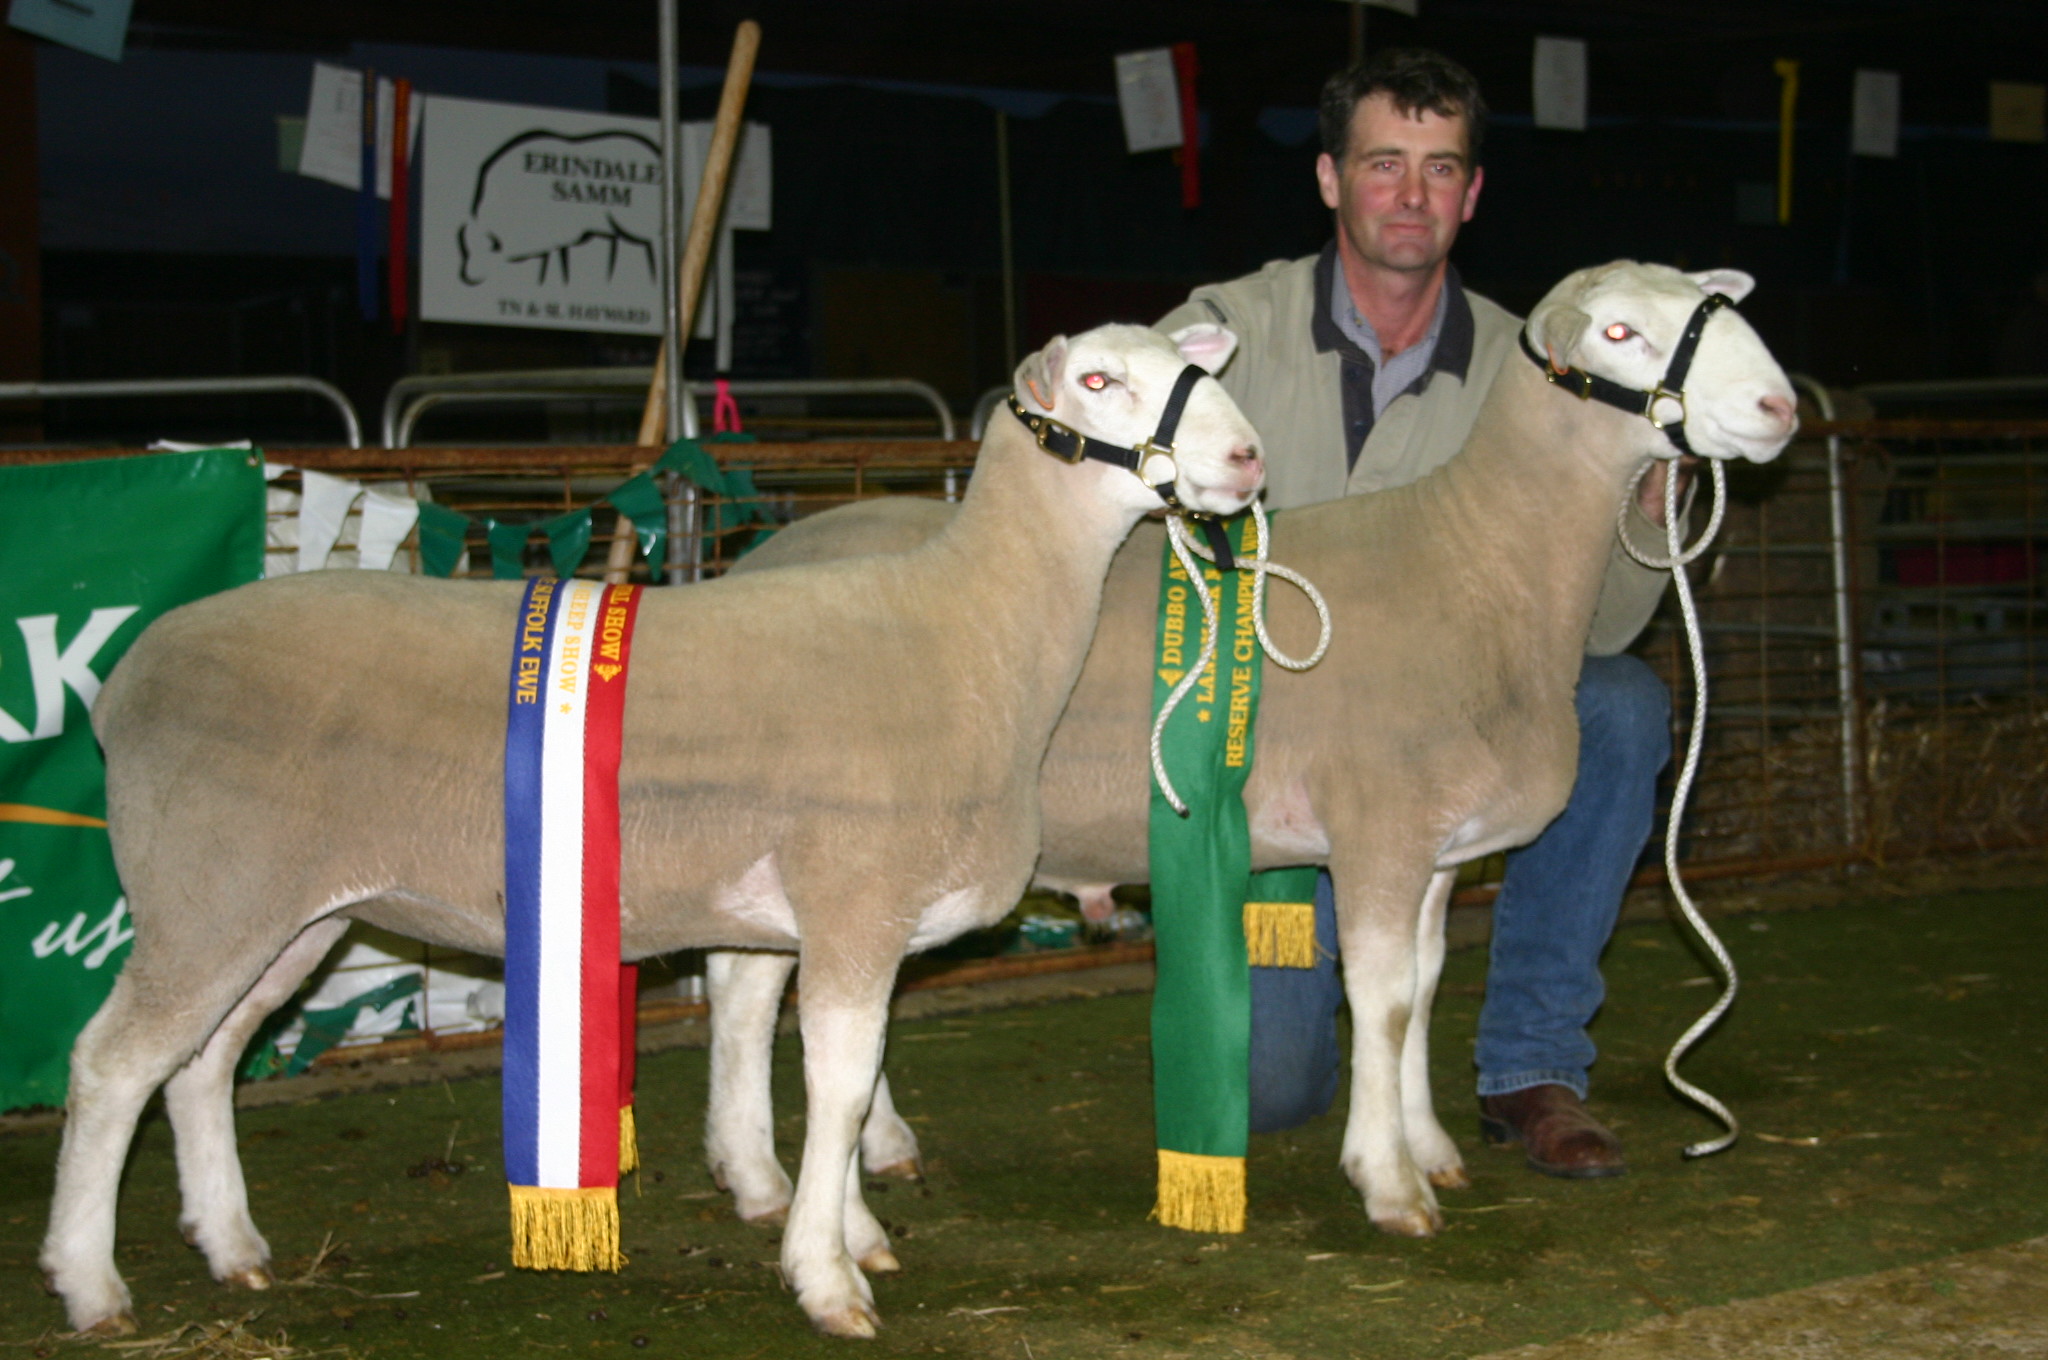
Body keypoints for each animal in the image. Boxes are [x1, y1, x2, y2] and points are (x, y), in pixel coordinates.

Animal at [36, 321, 1261, 1335]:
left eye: (1193, 367)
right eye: (1099, 381)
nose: (1248, 458)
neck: (972, 630)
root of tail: (129, 676)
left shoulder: (813, 920)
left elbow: (821, 1077)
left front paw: (846, 1231)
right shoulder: (855, 901)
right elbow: (841, 1086)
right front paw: (828, 1276)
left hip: (288, 910)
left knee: (202, 1061)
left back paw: (233, 1247)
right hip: (208, 887)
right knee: (111, 1064)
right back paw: (91, 1283)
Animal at [700, 260, 1794, 1237]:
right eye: (1619, 331)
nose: (1778, 404)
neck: (1475, 560)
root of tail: (758, 554)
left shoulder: (1438, 851)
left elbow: (1426, 987)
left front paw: (1429, 1143)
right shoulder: (1381, 828)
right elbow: (1385, 1003)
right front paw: (1390, 1183)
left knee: (760, 983)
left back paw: (830, 1156)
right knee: (763, 994)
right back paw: (775, 1176)